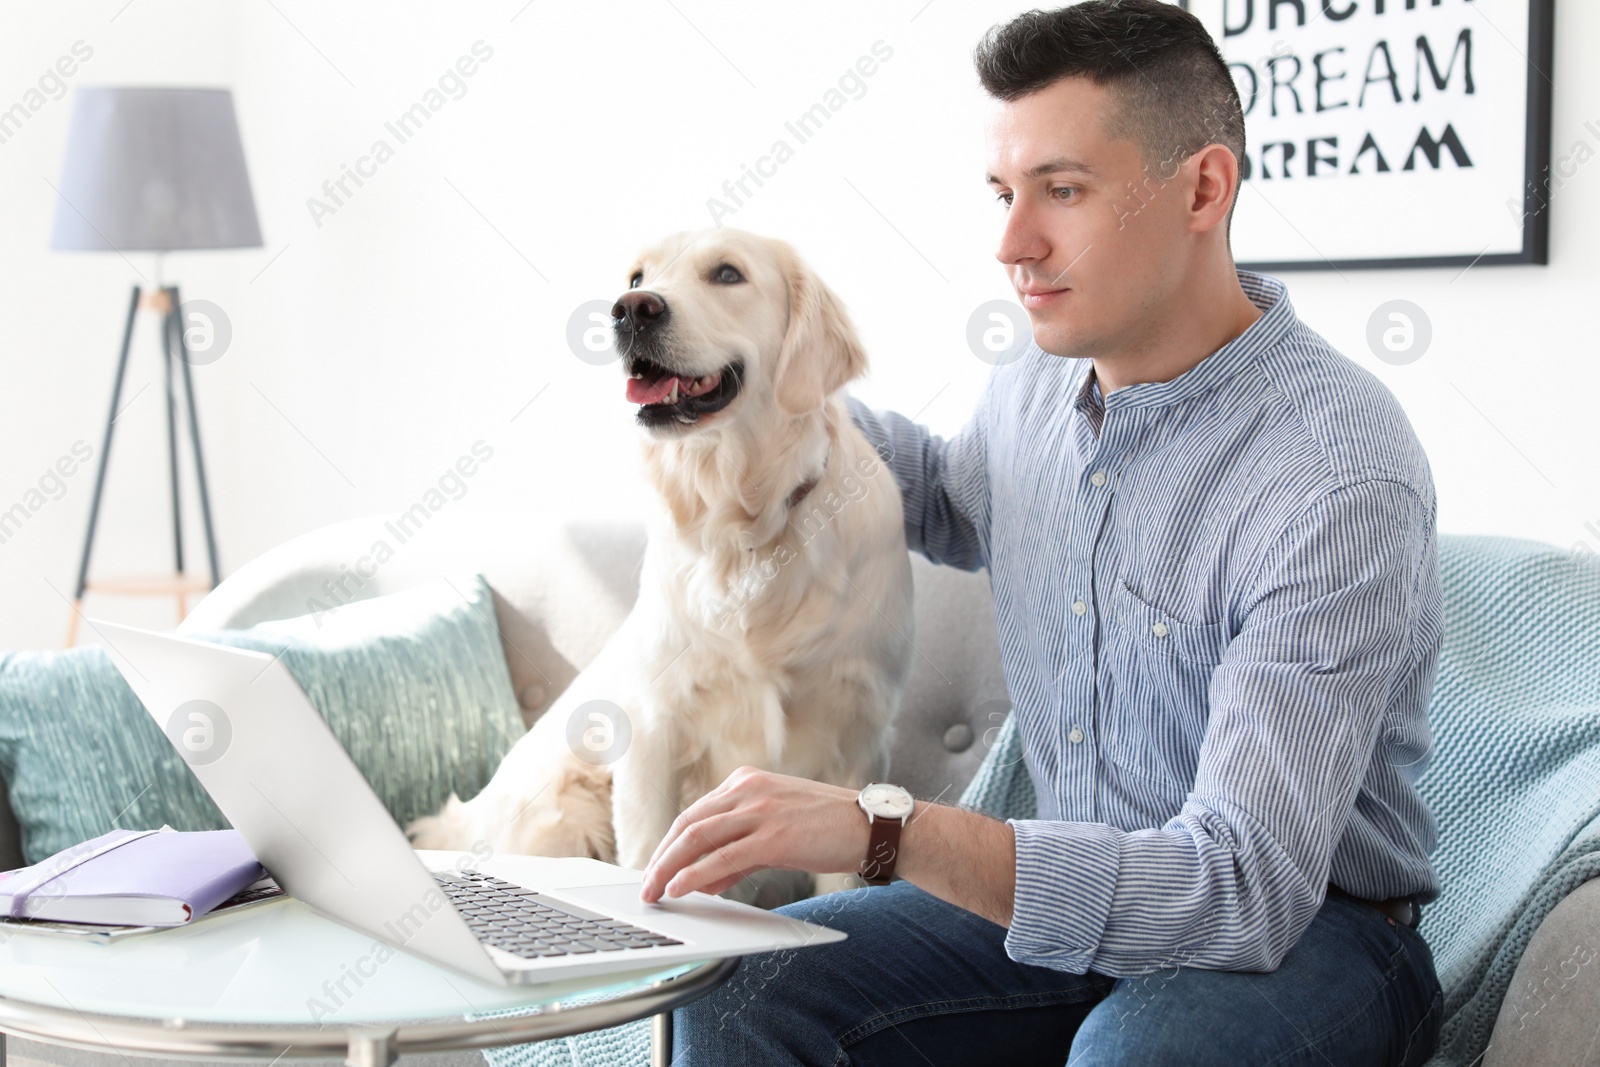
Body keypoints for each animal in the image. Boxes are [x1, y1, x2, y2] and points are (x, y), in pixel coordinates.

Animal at [406, 231, 915, 902]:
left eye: (727, 274)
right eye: (636, 277)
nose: (630, 311)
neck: (745, 529)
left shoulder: (856, 741)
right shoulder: (653, 727)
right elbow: (648, 847)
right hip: (568, 809)